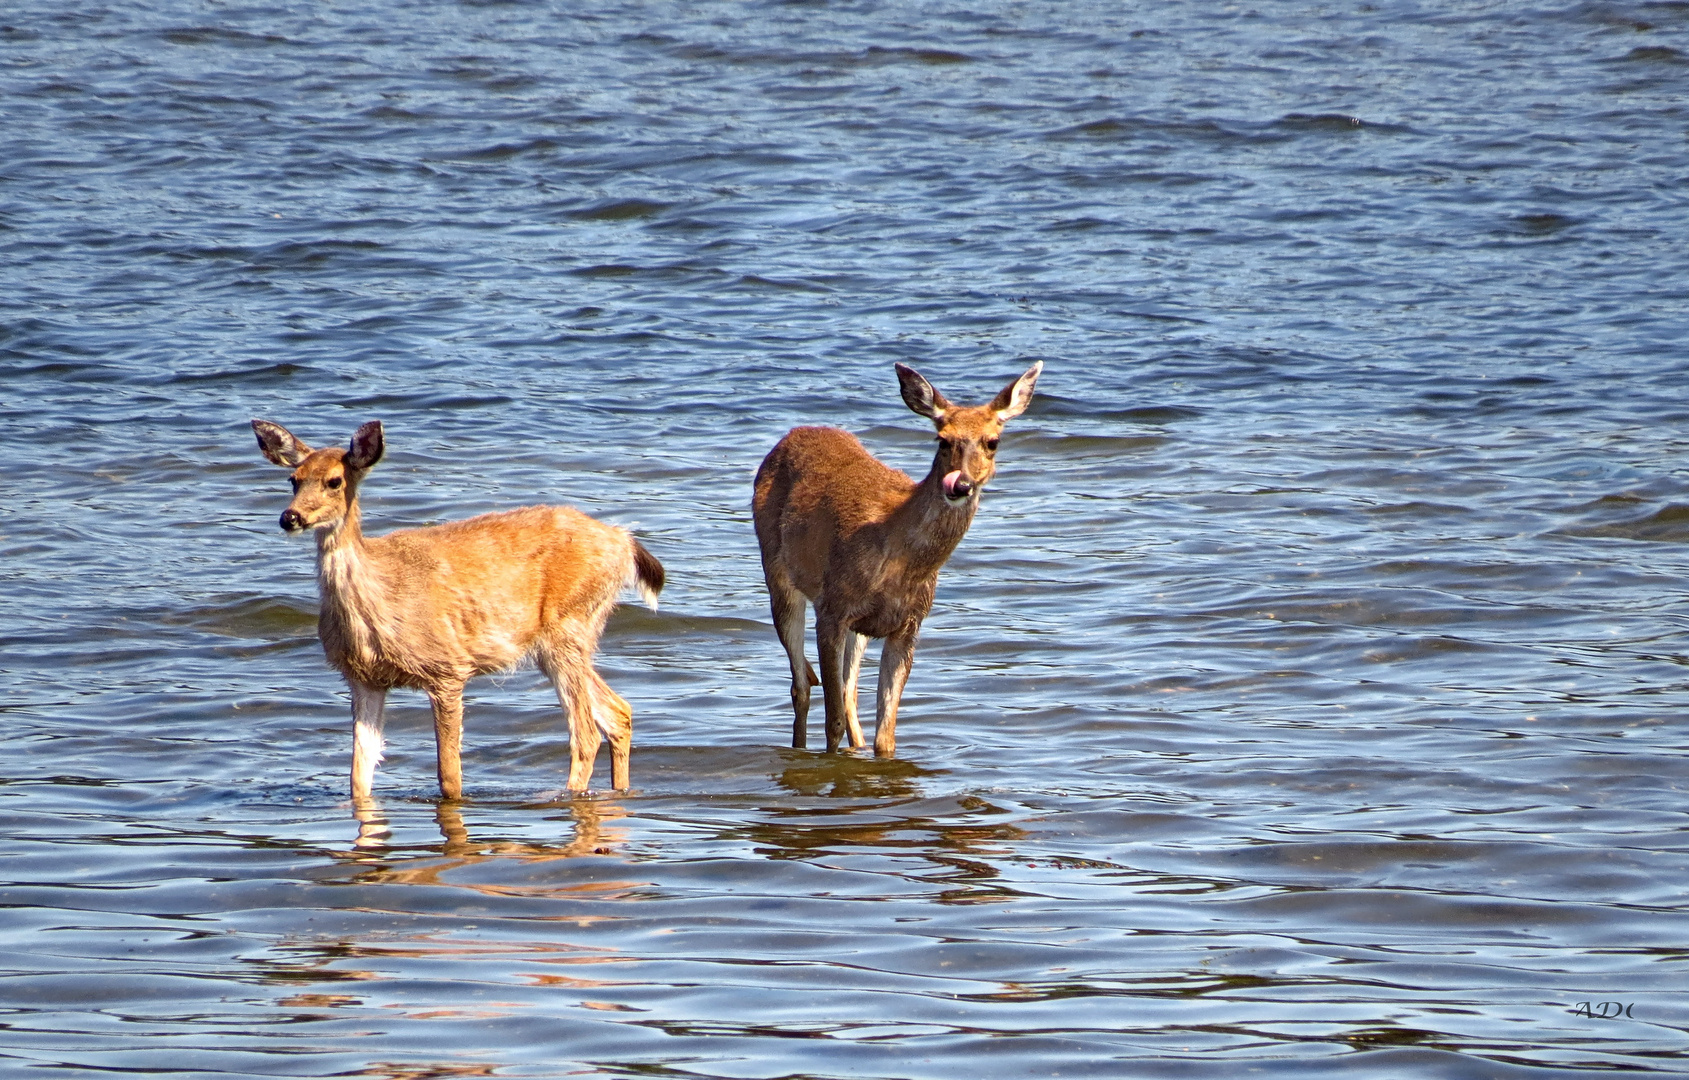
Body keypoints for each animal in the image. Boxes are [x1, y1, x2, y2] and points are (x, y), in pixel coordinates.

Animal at [249, 420, 658, 804]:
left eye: (335, 481)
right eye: (293, 480)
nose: (290, 517)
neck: (378, 605)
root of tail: (624, 542)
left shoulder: (447, 668)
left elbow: (449, 777)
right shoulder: (363, 678)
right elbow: (359, 777)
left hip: (569, 628)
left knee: (586, 732)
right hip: (560, 643)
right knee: (618, 713)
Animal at [753, 358, 1040, 757]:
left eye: (992, 441)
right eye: (942, 439)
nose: (960, 484)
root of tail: (792, 434)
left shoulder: (909, 625)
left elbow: (885, 734)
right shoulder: (832, 609)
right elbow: (833, 720)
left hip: (857, 630)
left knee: (847, 692)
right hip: (777, 575)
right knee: (802, 686)